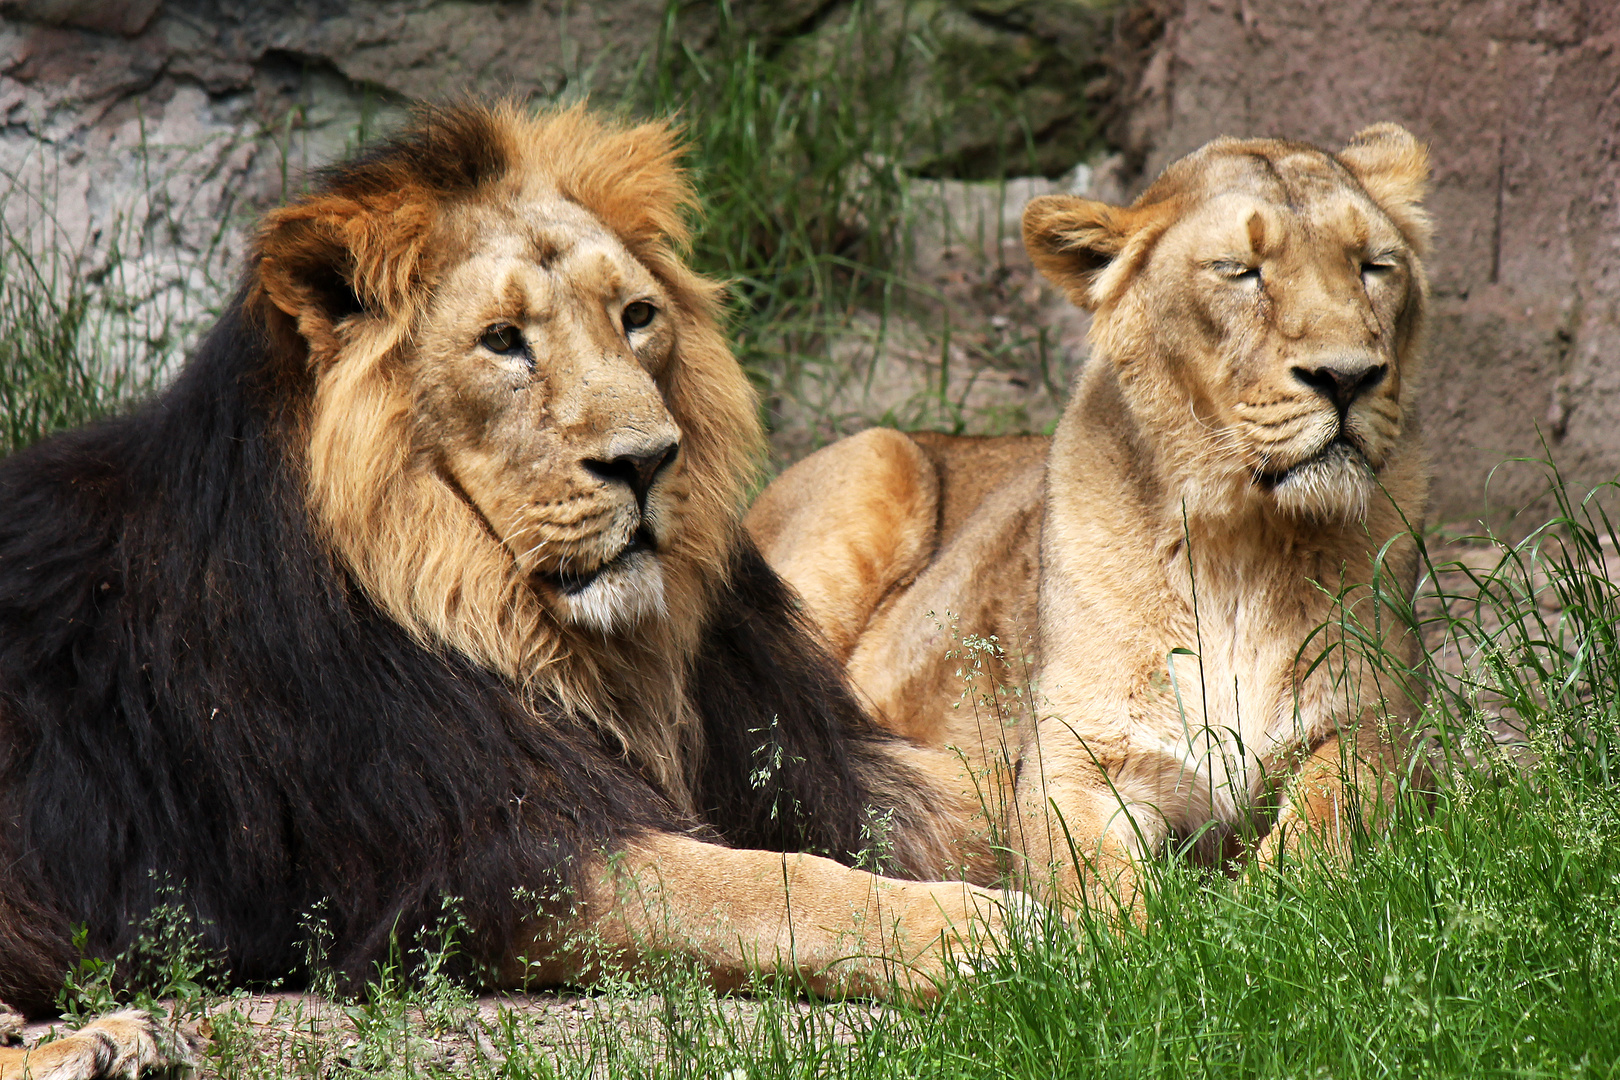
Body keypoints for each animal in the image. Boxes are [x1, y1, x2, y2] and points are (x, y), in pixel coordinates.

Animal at [0, 101, 1004, 1080]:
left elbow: (986, 801)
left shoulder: (812, 758)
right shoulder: (483, 858)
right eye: (502, 342)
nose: (648, 461)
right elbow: (769, 884)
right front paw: (984, 934)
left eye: (637, 316)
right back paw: (96, 1044)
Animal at [745, 127, 1432, 919]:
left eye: (1374, 265)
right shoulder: (1072, 759)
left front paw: (1268, 907)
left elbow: (1331, 818)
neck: (1244, 544)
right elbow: (1105, 895)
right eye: (1239, 271)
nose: (1349, 377)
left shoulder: (1387, 734)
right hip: (881, 455)